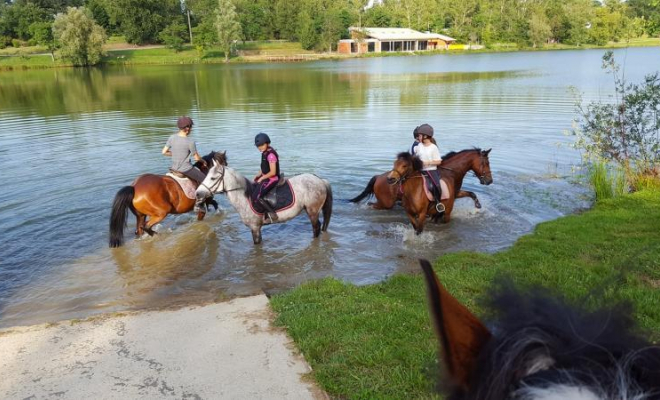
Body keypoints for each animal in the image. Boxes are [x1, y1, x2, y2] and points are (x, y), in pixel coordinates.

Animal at [193, 154, 332, 244]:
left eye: (212, 178)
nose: (197, 194)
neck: (245, 197)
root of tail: (320, 180)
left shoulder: (255, 227)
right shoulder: (256, 228)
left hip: (312, 211)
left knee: (316, 227)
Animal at [350, 148, 490, 209]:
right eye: (487, 163)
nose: (490, 180)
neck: (450, 172)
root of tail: (379, 177)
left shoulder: (455, 193)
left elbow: (471, 193)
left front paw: (478, 205)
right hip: (386, 203)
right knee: (372, 205)